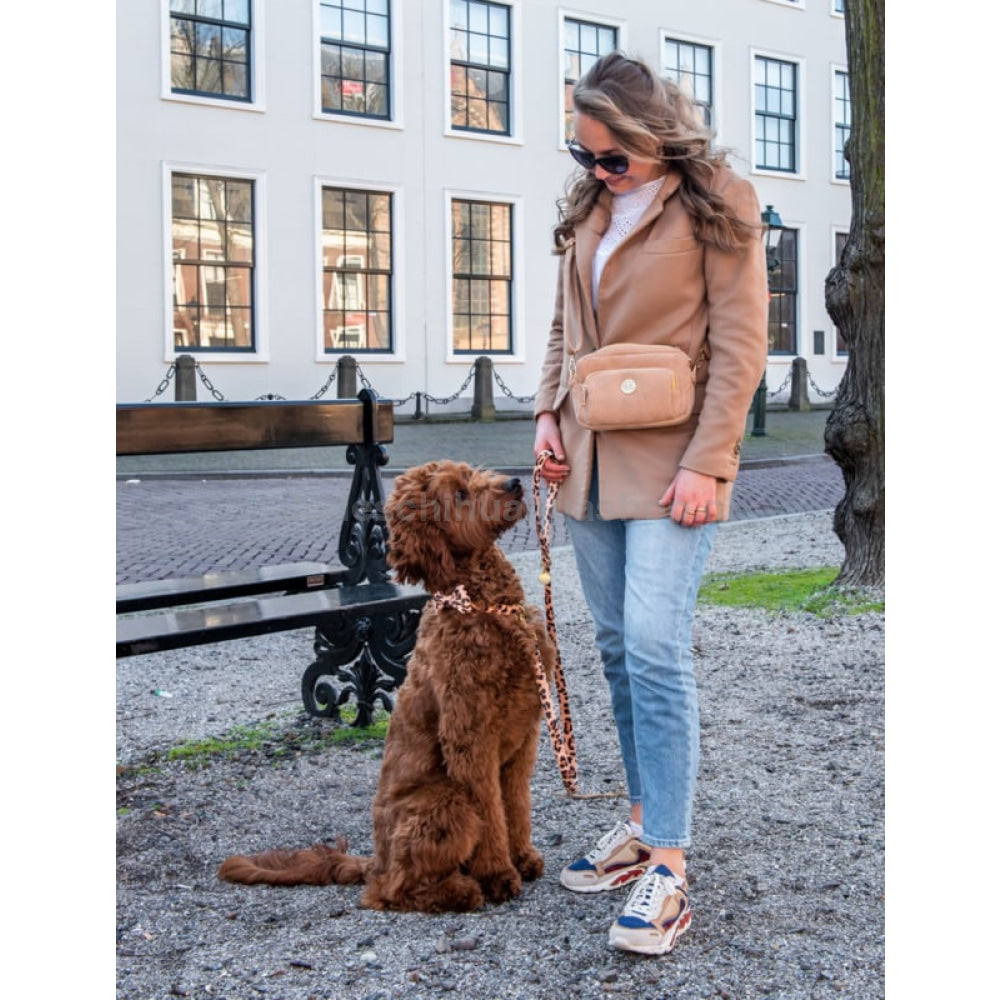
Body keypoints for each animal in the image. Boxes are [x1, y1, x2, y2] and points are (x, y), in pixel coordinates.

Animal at [217, 460, 556, 916]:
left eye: (473, 473)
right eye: (460, 494)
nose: (516, 482)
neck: (484, 605)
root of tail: (374, 861)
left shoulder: (523, 739)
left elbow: (515, 804)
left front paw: (522, 857)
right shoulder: (471, 740)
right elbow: (491, 810)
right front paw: (499, 874)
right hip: (444, 801)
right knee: (390, 891)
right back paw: (460, 890)